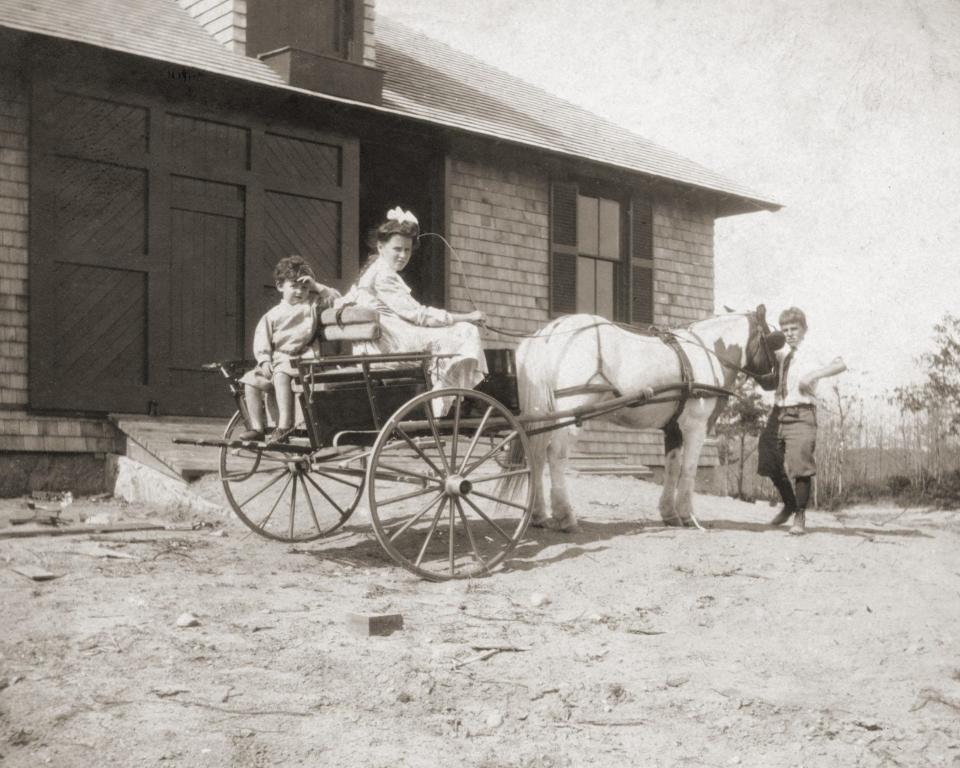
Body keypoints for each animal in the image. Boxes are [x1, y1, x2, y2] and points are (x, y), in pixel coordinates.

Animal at [512, 304, 784, 528]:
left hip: (544, 414)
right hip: (571, 413)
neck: (707, 353)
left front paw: (669, 514)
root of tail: (551, 330)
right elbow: (689, 469)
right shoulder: (696, 427)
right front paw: (687, 515)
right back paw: (565, 515)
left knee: (536, 457)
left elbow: (672, 468)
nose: (774, 380)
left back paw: (538, 515)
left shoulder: (673, 428)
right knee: (555, 455)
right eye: (773, 340)